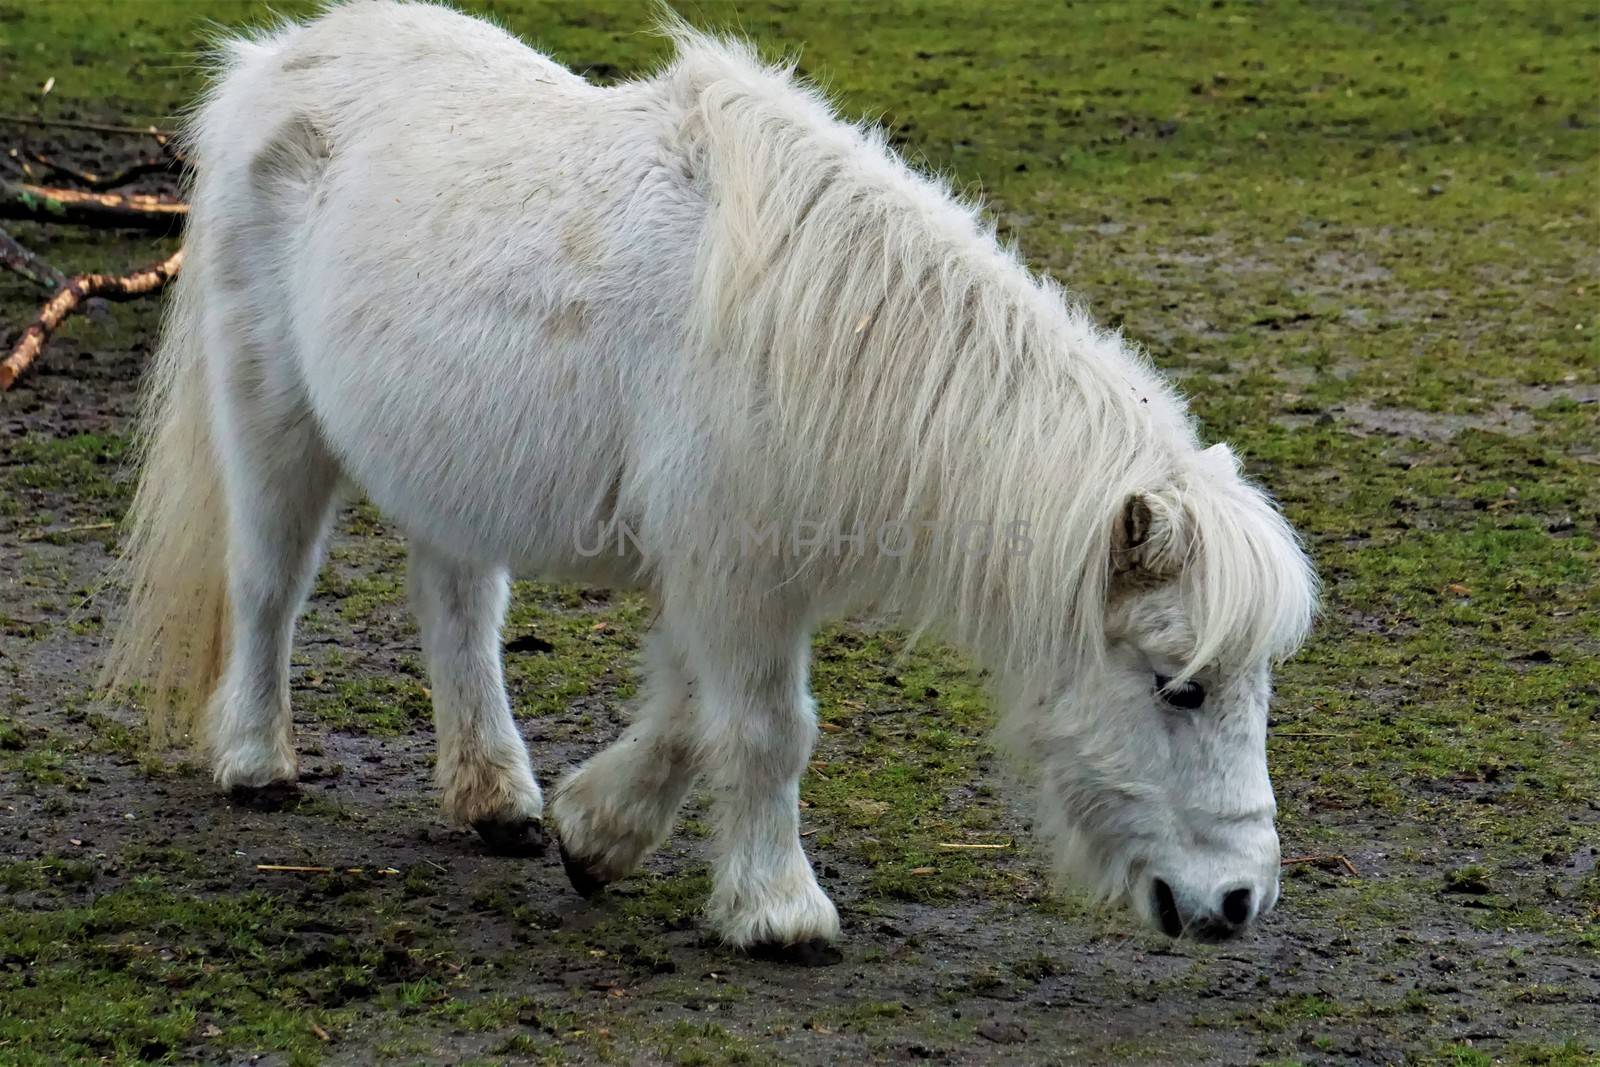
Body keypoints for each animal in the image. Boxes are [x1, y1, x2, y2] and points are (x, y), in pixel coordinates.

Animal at [106, 0, 1318, 959]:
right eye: (1177, 686)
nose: (1237, 900)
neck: (825, 331)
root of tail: (275, 57)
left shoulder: (731, 570)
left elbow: (695, 717)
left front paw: (595, 834)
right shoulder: (735, 570)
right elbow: (770, 730)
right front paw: (778, 912)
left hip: (450, 463)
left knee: (457, 610)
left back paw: (497, 798)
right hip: (272, 421)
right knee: (268, 584)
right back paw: (257, 763)